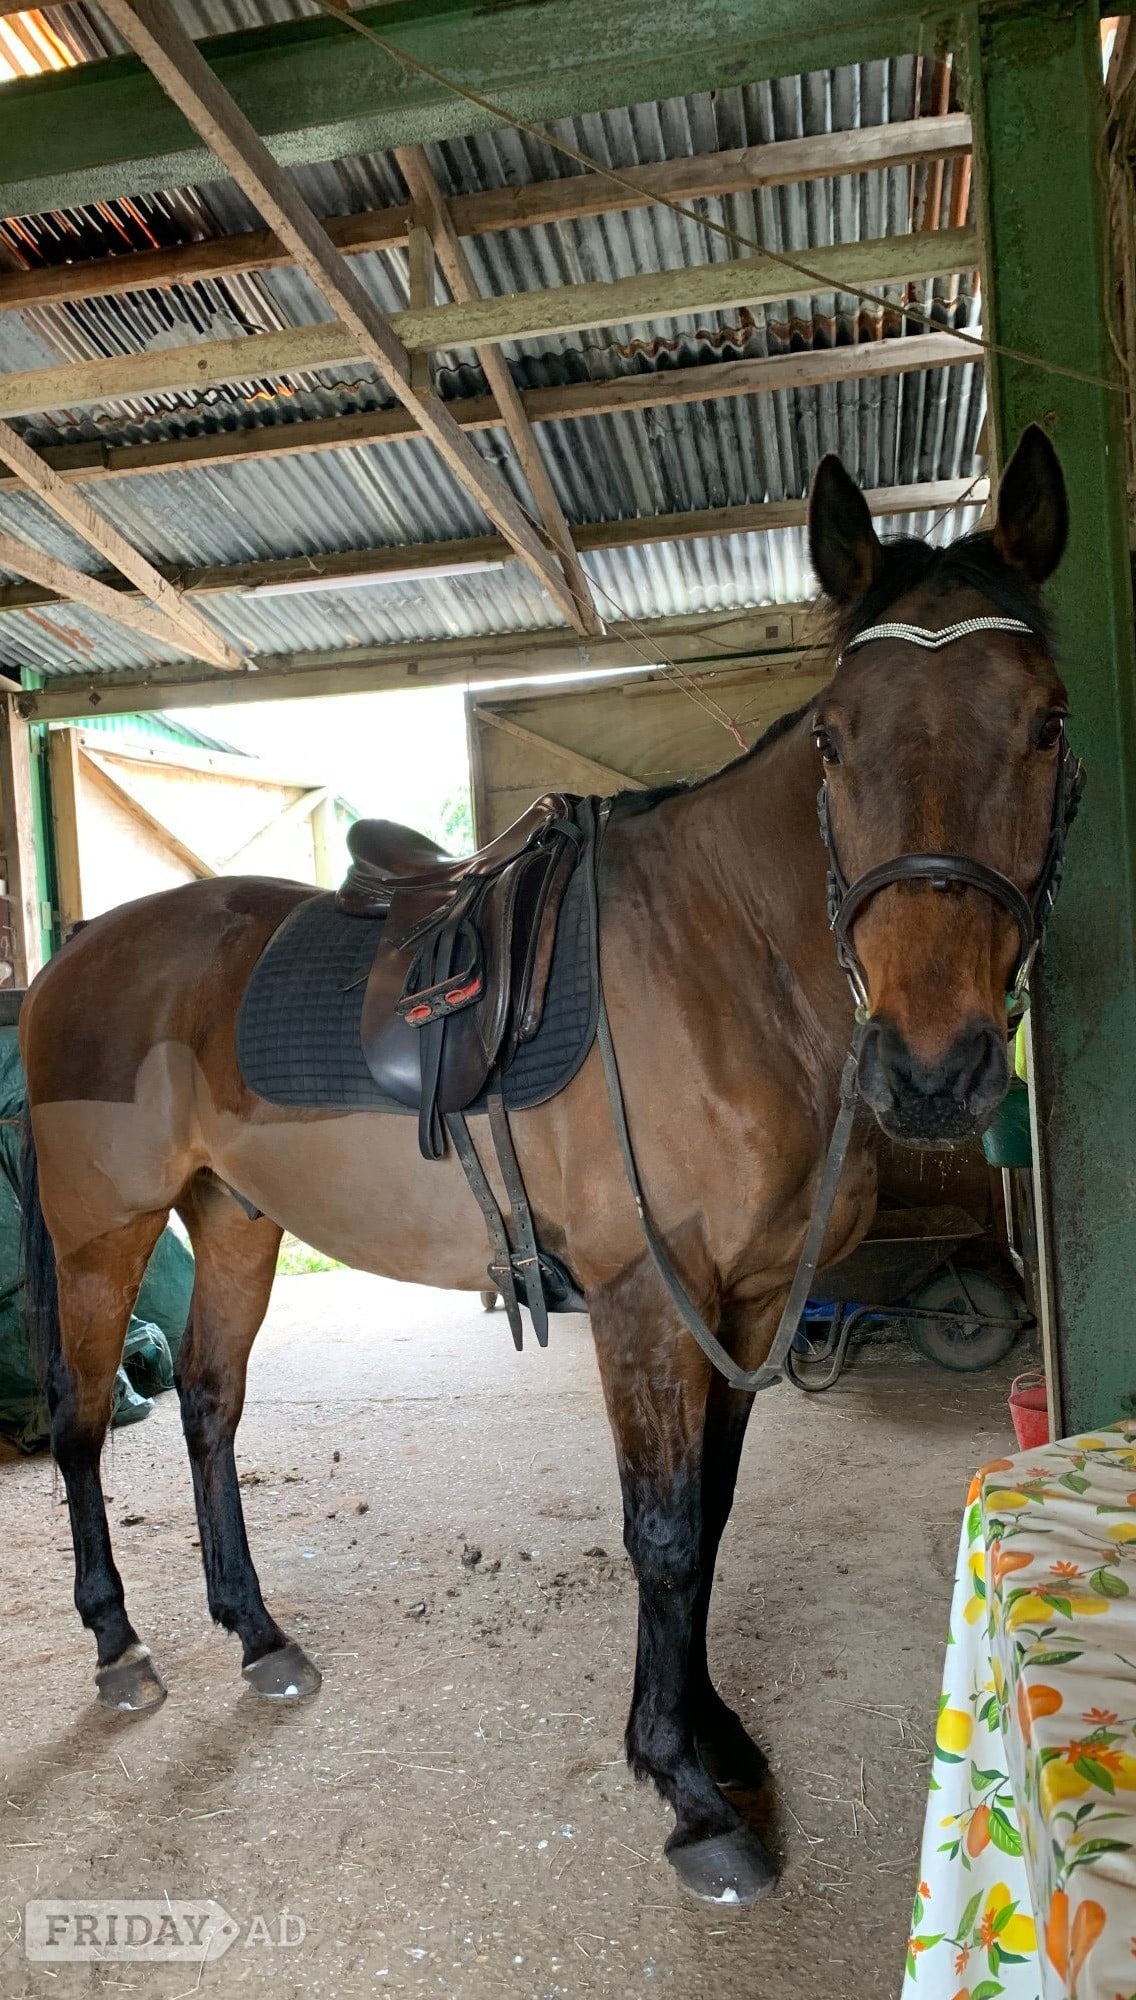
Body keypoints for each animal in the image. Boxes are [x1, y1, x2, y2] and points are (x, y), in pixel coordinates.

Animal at [19, 425, 1074, 1907]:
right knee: (76, 1424)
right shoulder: (645, 1299)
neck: (723, 967)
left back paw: (257, 1633)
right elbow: (663, 1530)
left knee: (211, 1406)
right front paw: (687, 1791)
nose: (933, 1068)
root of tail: (80, 951)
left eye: (1045, 722)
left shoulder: (748, 1304)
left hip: (231, 1220)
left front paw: (712, 1729)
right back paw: (119, 1645)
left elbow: (711, 1514)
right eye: (832, 736)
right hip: (102, 1232)